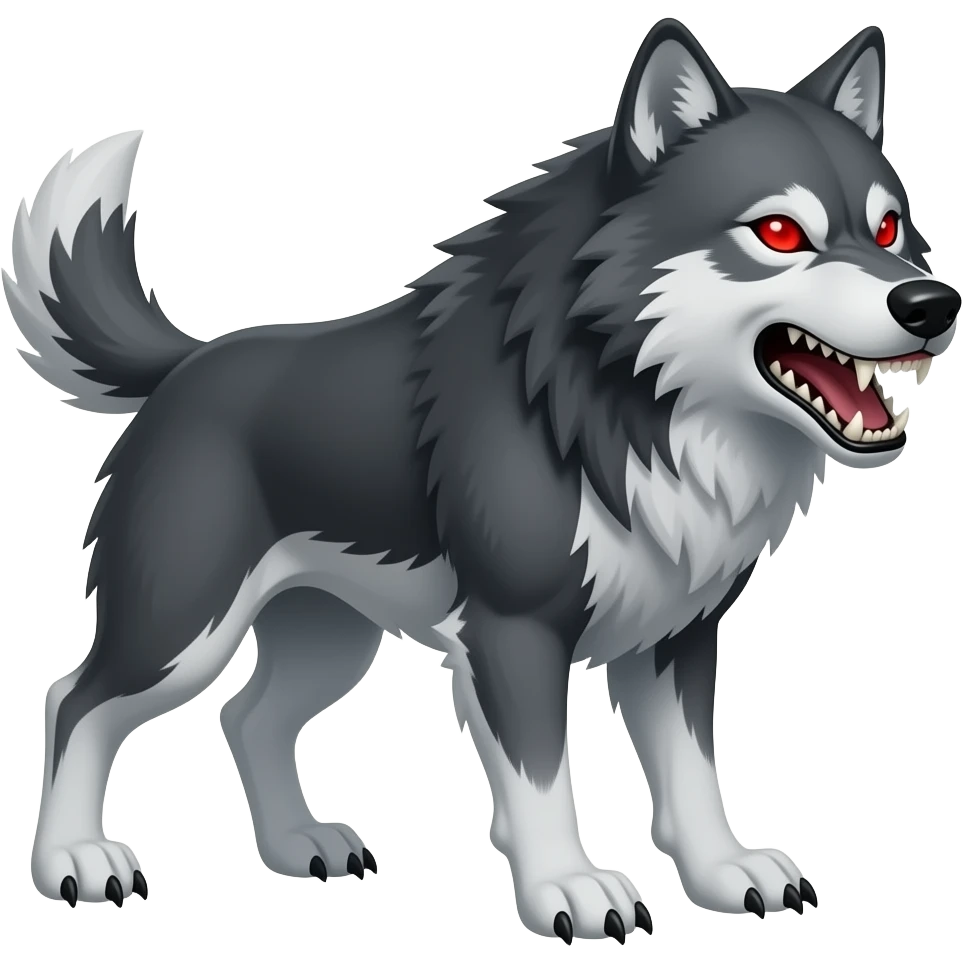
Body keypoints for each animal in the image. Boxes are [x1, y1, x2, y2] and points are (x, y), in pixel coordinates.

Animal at [9, 18, 959, 941]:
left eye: (888, 230)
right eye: (779, 233)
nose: (931, 304)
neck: (627, 403)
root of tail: (185, 365)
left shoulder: (676, 634)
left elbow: (691, 770)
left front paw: (724, 871)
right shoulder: (514, 631)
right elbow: (542, 776)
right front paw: (568, 887)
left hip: (329, 634)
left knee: (246, 716)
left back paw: (297, 844)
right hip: (183, 624)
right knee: (74, 702)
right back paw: (75, 861)